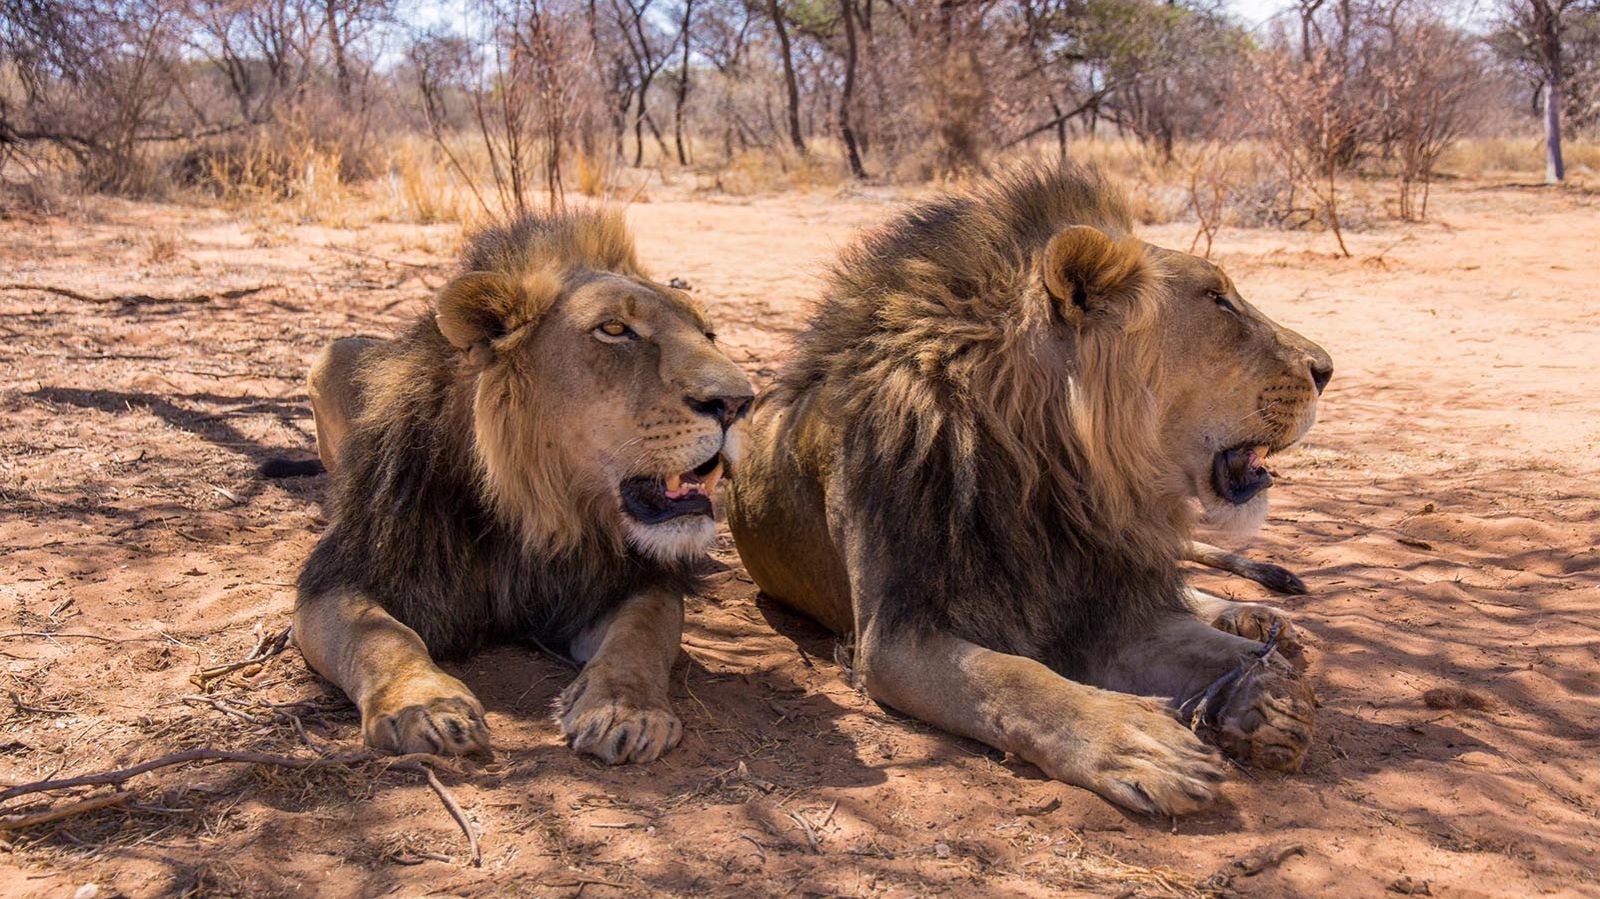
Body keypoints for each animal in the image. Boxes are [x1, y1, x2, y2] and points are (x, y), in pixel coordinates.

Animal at [294, 211, 755, 761]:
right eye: (615, 329)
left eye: (709, 334)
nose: (740, 402)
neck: (537, 511)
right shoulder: (339, 575)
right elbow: (380, 637)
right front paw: (424, 705)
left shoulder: (622, 580)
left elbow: (645, 630)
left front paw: (625, 710)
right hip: (331, 352)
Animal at [732, 164, 1331, 815]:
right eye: (1218, 299)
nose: (1326, 369)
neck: (1050, 480)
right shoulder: (891, 639)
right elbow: (1015, 679)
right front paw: (1133, 739)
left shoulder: (1101, 600)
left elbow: (1197, 643)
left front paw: (1263, 696)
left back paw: (1257, 619)